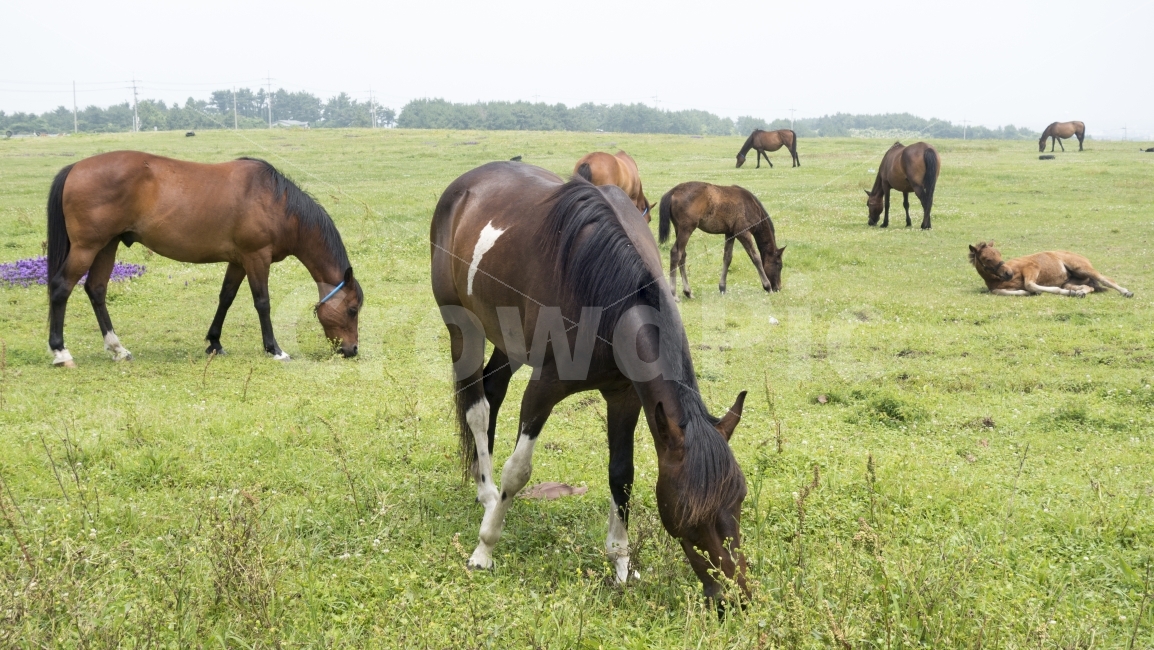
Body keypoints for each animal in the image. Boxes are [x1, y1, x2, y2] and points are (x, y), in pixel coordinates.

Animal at [45, 151, 362, 367]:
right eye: (352, 310)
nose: (352, 350)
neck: (277, 203)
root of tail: (75, 168)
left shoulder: (238, 261)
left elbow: (226, 298)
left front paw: (214, 343)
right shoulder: (256, 257)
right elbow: (262, 303)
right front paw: (274, 349)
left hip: (106, 246)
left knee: (96, 290)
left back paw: (117, 348)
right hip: (87, 247)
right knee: (61, 288)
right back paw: (60, 352)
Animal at [431, 161, 750, 604]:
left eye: (740, 497)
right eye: (689, 512)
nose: (735, 596)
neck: (608, 294)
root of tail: (464, 185)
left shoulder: (625, 397)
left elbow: (622, 476)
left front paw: (621, 564)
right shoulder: (542, 389)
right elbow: (518, 471)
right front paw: (485, 548)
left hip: (508, 340)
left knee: (492, 392)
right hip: (464, 328)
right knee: (477, 410)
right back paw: (488, 492)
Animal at [968, 241, 1133, 298]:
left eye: (999, 254)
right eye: (987, 258)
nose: (1008, 273)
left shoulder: (1031, 267)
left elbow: (1030, 284)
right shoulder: (995, 289)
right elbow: (999, 291)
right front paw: (1027, 292)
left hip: (1081, 268)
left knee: (1106, 280)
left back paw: (1127, 292)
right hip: (1070, 281)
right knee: (1087, 287)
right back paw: (1078, 292)